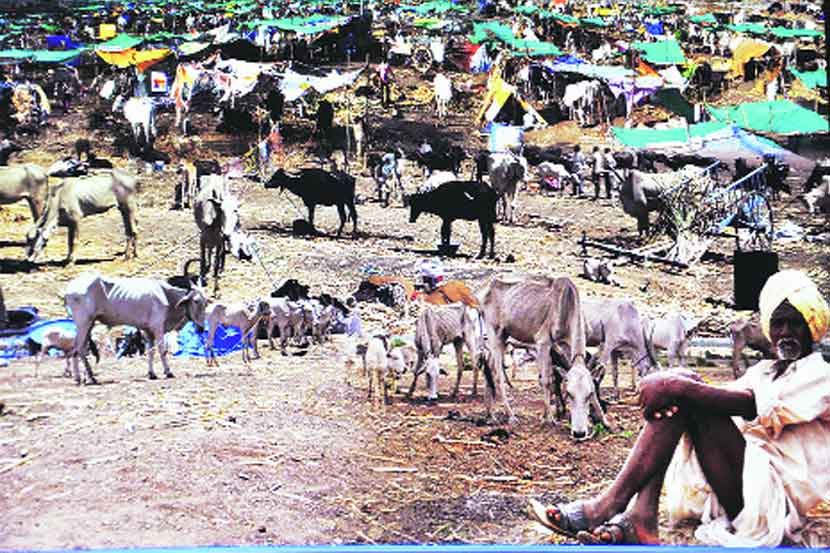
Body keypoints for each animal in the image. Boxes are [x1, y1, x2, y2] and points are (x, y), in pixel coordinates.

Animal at [64, 273, 209, 384]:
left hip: (89, 324)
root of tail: (68, 288)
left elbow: (151, 352)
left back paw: (86, 377)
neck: (167, 296)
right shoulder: (158, 328)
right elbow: (162, 350)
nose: (201, 328)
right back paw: (83, 378)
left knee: (80, 348)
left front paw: (152, 374)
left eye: (206, 302)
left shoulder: (148, 332)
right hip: (83, 323)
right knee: (78, 347)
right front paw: (168, 372)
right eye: (196, 301)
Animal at [475, 275, 608, 439]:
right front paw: (549, 418)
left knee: (489, 370)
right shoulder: (543, 342)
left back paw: (491, 415)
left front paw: (603, 420)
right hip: (495, 333)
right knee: (498, 376)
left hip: (503, 337)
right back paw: (510, 415)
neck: (567, 305)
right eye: (569, 394)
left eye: (589, 394)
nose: (579, 433)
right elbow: (547, 381)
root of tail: (483, 287)